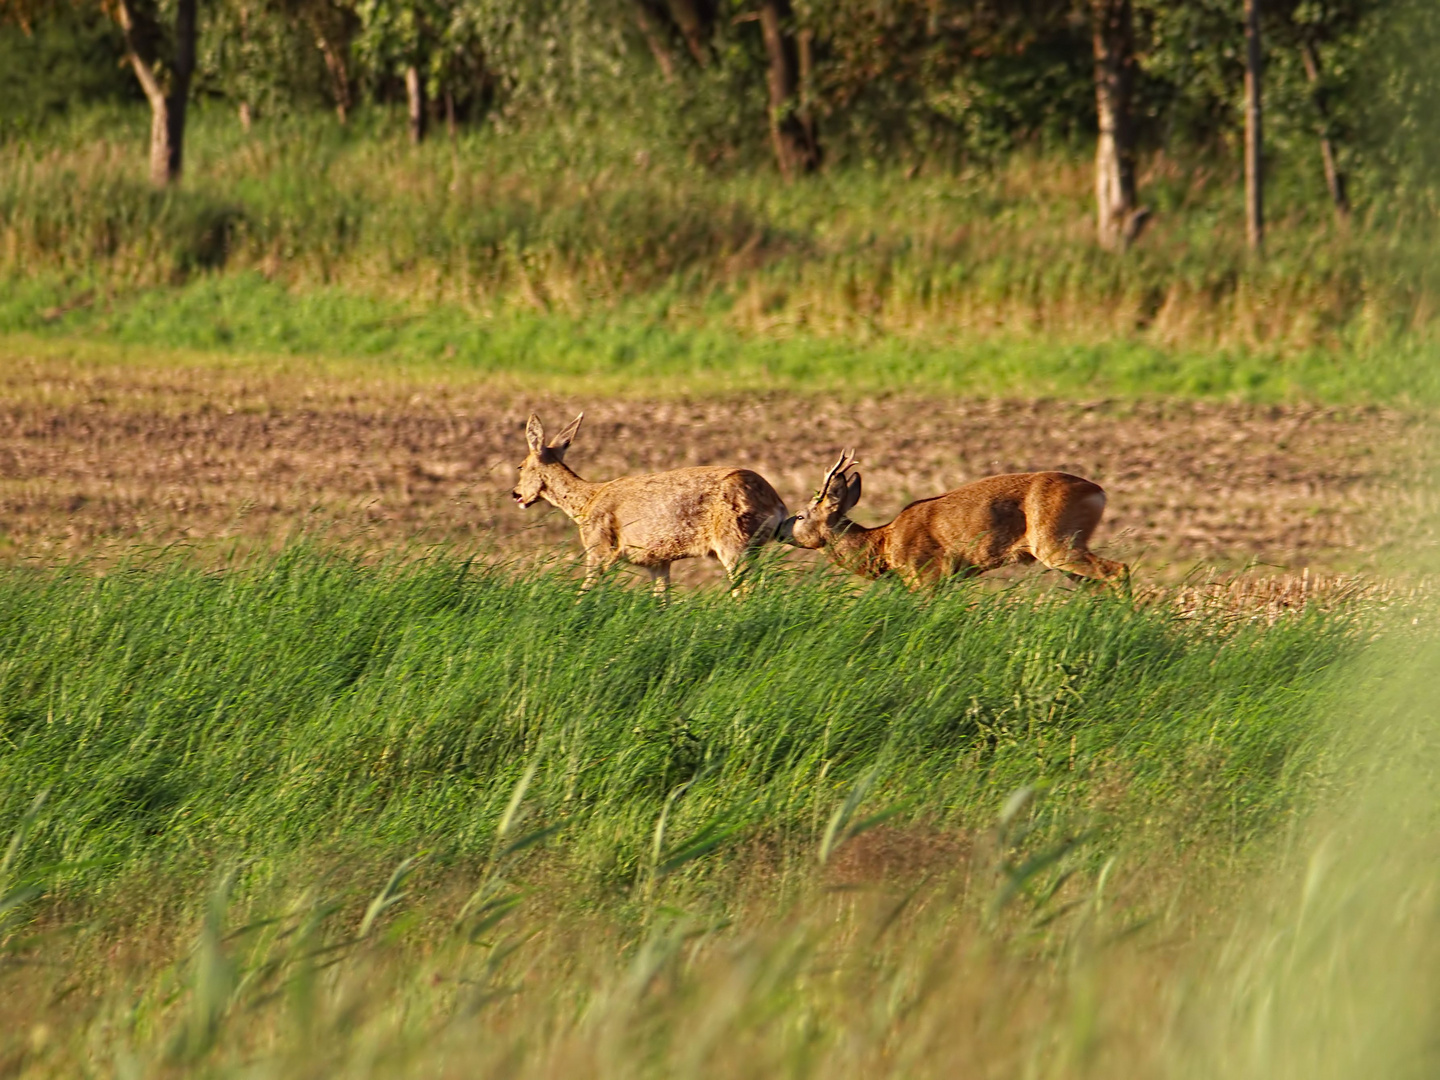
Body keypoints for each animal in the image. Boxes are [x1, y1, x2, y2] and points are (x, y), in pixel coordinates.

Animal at [512, 417, 789, 601]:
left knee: (746, 590)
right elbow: (661, 601)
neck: (587, 501)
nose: (515, 494)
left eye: (520, 466)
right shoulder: (657, 561)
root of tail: (778, 504)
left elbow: (586, 590)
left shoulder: (600, 546)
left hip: (734, 540)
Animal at [777, 449, 1123, 593]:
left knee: (1118, 570)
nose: (780, 529)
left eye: (801, 515)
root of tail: (1098, 491)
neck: (884, 543)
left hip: (1057, 541)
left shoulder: (926, 573)